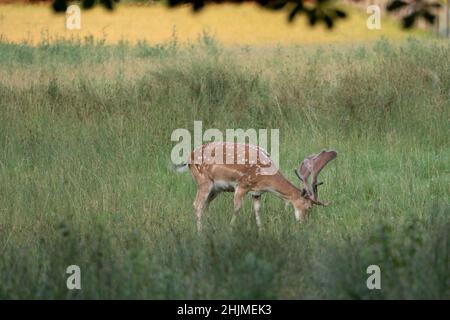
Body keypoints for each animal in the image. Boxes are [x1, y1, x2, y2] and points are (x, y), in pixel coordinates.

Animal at [174, 142, 336, 230]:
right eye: (308, 207)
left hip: (216, 189)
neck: (264, 179)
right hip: (204, 181)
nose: (304, 223)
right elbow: (237, 208)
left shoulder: (257, 192)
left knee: (205, 205)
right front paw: (231, 229)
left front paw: (261, 231)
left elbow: (258, 211)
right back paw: (200, 233)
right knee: (197, 204)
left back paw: (210, 229)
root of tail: (188, 159)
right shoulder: (242, 185)